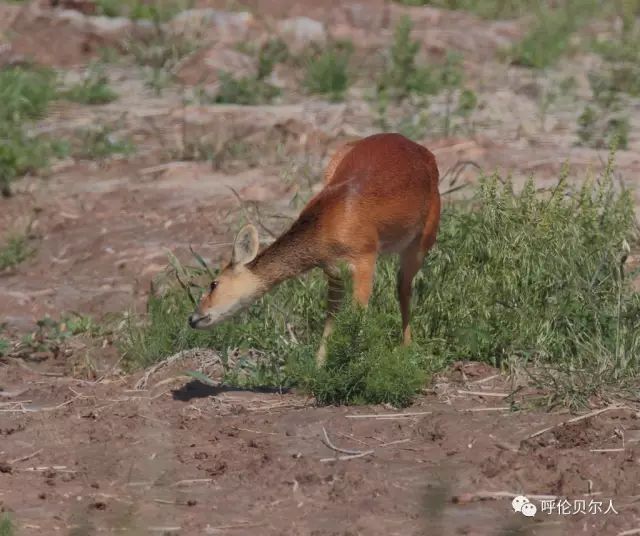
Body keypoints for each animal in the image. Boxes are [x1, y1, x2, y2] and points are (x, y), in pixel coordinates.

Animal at [188, 133, 442, 366]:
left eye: (214, 283)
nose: (193, 318)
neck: (327, 225)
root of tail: (425, 152)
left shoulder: (365, 260)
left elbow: (359, 312)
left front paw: (355, 362)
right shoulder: (333, 270)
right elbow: (332, 314)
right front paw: (320, 365)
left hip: (421, 241)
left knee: (403, 286)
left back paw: (406, 347)